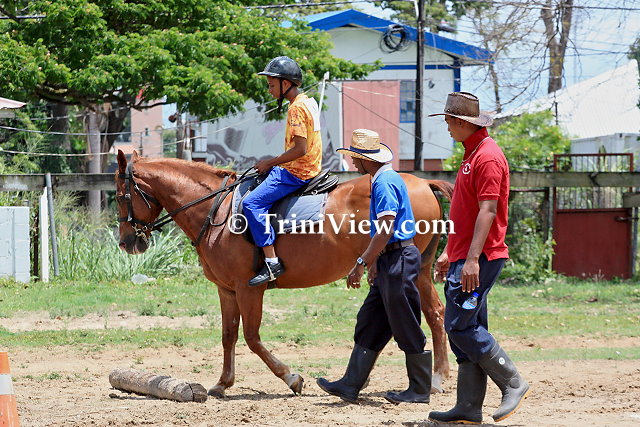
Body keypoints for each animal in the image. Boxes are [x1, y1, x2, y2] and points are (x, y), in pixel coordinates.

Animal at [114, 150, 453, 397]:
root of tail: (422, 183)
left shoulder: (249, 288)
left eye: (120, 196)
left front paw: (291, 377)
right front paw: (223, 383)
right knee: (435, 313)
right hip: (421, 271)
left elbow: (252, 338)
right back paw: (431, 378)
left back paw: (431, 379)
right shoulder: (227, 290)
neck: (217, 212)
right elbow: (228, 336)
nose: (127, 242)